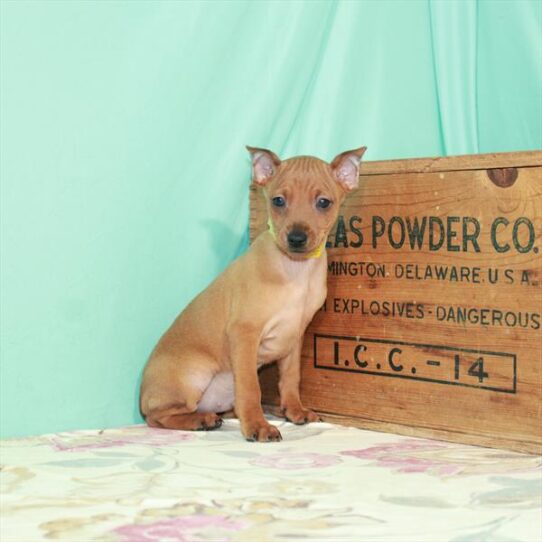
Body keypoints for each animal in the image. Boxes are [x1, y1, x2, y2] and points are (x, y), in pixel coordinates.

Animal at [142, 147, 368, 444]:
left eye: (323, 203)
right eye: (278, 201)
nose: (296, 238)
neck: (296, 269)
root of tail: (142, 396)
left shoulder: (294, 337)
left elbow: (291, 378)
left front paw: (294, 410)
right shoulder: (245, 332)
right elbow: (251, 388)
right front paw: (257, 426)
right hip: (192, 376)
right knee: (158, 418)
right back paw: (200, 420)